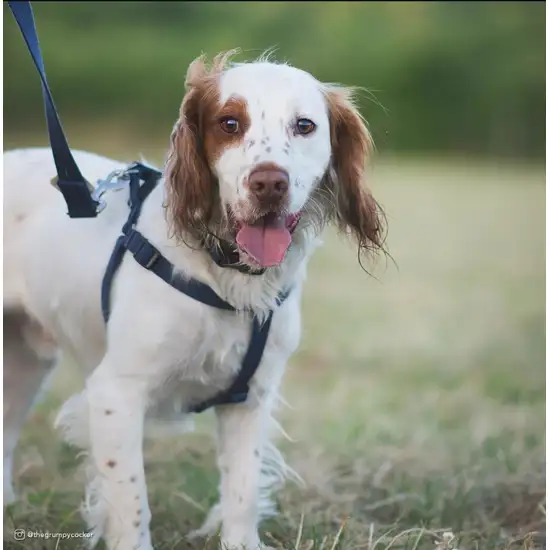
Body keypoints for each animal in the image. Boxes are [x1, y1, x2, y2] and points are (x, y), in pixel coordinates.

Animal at [2, 49, 386, 548]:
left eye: (304, 125)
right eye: (229, 123)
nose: (269, 183)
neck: (227, 274)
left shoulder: (250, 399)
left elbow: (241, 494)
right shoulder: (115, 394)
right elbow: (131, 504)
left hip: (23, 366)